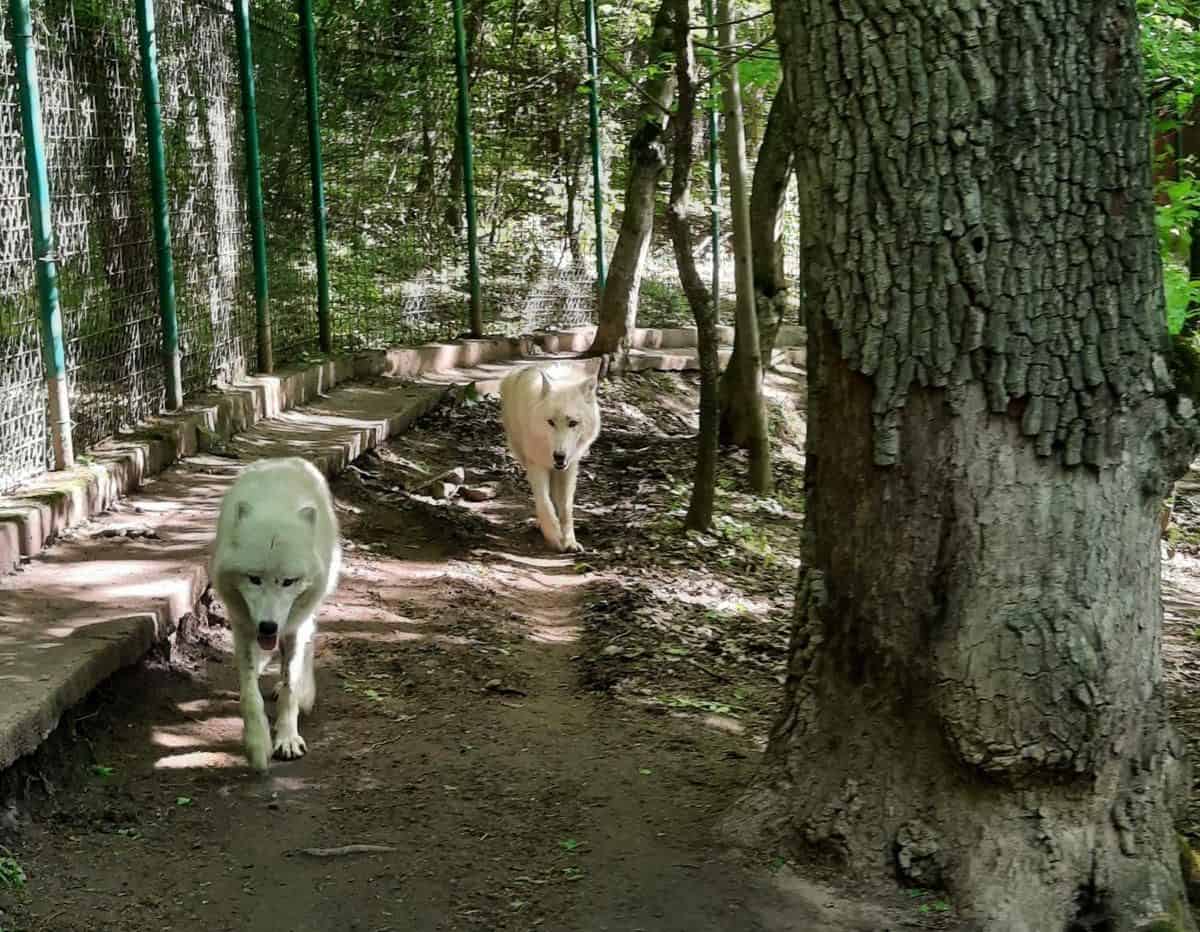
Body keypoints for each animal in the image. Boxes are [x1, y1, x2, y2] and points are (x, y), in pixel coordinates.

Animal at [211, 458, 340, 772]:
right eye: (254, 579)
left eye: (288, 581)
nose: (268, 626)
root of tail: (284, 460)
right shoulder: (243, 626)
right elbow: (250, 695)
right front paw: (257, 745)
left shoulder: (293, 626)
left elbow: (291, 685)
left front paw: (287, 738)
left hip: (308, 609)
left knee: (307, 645)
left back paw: (304, 691)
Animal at [499, 364, 600, 551]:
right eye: (550, 422)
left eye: (573, 423)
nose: (559, 456)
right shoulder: (536, 463)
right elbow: (544, 503)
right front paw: (554, 536)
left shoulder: (569, 467)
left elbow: (566, 509)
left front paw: (570, 541)